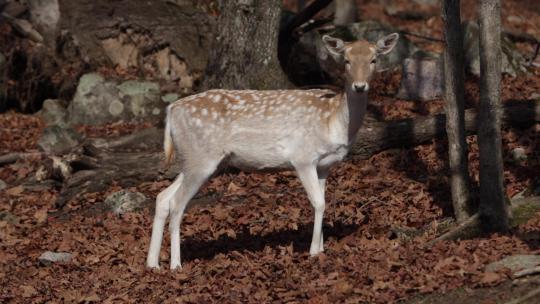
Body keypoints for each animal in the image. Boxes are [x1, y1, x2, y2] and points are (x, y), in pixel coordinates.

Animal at [146, 32, 398, 268]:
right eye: (346, 60)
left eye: (374, 59)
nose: (359, 86)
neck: (334, 121)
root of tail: (171, 110)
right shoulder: (303, 157)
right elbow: (318, 202)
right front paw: (313, 252)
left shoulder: (325, 165)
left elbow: (324, 201)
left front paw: (321, 247)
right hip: (201, 158)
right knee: (177, 204)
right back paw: (175, 265)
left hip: (198, 160)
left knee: (162, 197)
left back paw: (153, 264)